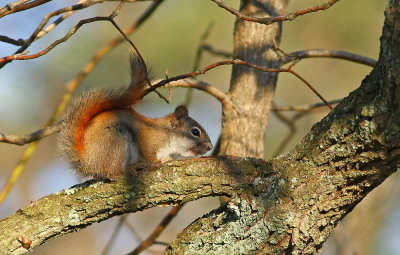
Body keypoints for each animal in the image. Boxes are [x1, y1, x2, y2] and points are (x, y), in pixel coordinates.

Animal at [57, 55, 212, 179]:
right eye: (195, 132)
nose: (210, 147)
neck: (167, 135)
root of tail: (87, 161)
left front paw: (167, 159)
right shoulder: (147, 140)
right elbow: (149, 155)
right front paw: (159, 162)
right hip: (115, 139)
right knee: (113, 174)